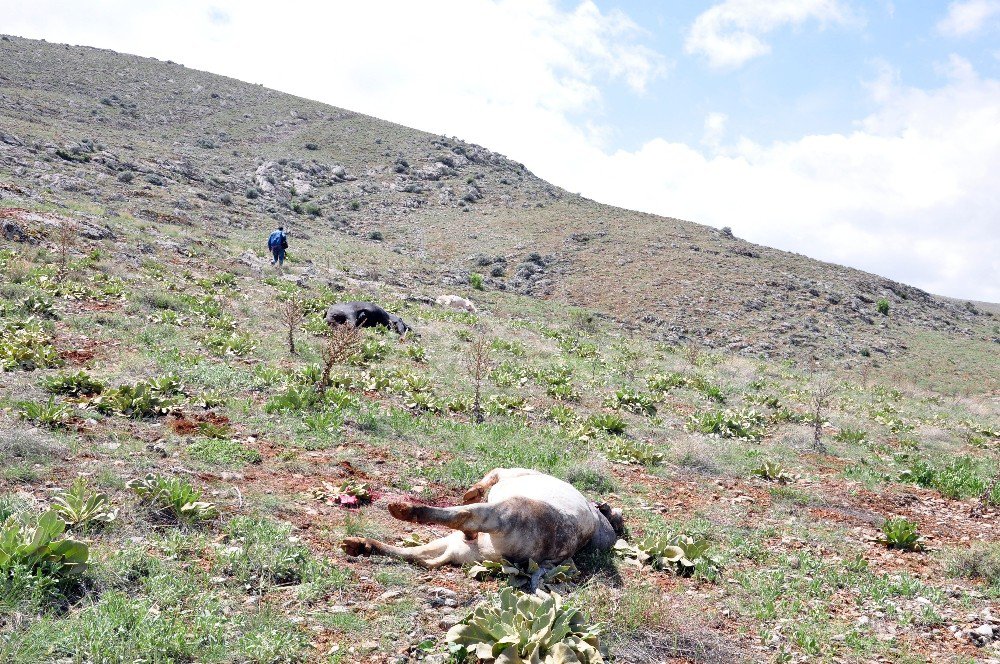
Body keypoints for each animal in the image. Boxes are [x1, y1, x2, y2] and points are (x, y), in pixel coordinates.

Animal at [346, 466, 624, 588]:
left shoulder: (511, 474)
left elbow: (491, 476)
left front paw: (472, 492)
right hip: (455, 544)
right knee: (417, 556)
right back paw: (360, 545)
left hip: (501, 514)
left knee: (464, 516)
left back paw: (403, 509)